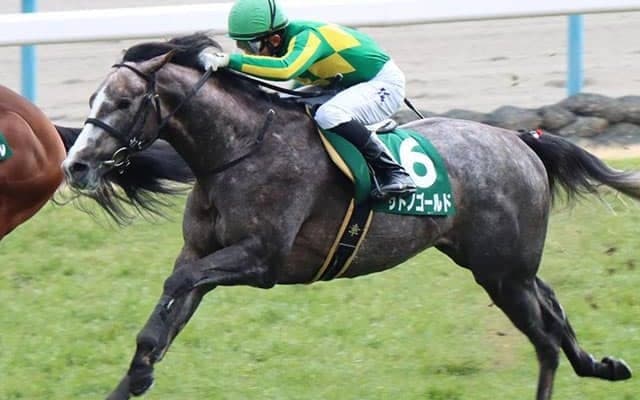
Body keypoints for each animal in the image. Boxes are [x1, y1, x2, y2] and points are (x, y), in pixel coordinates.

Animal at [61, 34, 639, 400]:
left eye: (124, 102)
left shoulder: (260, 260)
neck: (240, 148)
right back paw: (603, 366)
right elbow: (164, 319)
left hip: (501, 273)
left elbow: (175, 287)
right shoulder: (203, 252)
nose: (76, 164)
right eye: (91, 98)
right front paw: (133, 380)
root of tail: (519, 139)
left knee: (544, 339)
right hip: (502, 264)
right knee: (553, 309)